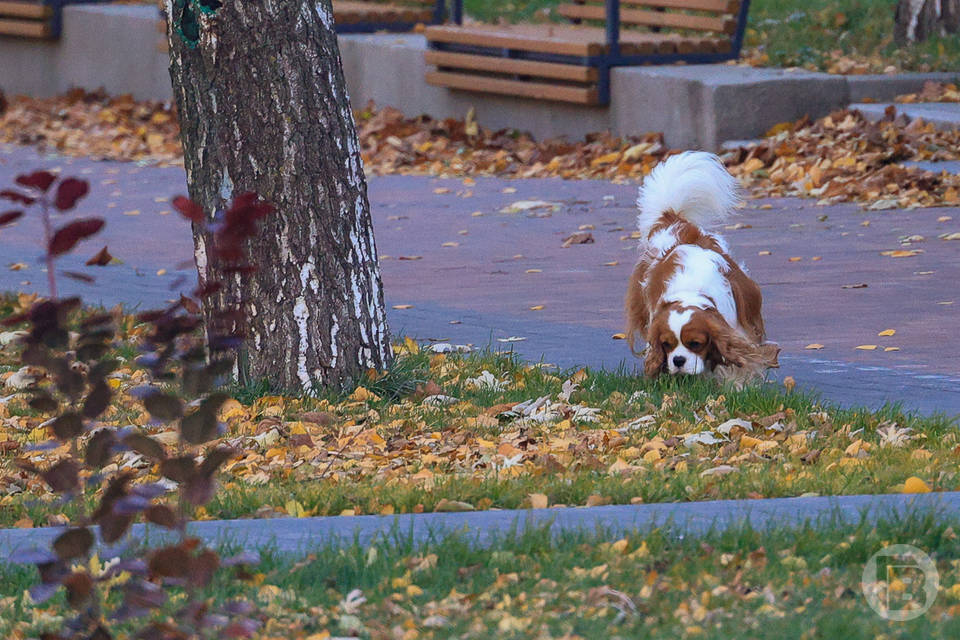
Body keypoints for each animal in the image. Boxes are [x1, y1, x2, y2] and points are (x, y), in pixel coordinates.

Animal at [628, 150, 776, 380]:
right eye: (666, 345)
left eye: (695, 343)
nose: (678, 360)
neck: (691, 291)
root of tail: (674, 220)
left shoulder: (738, 332)